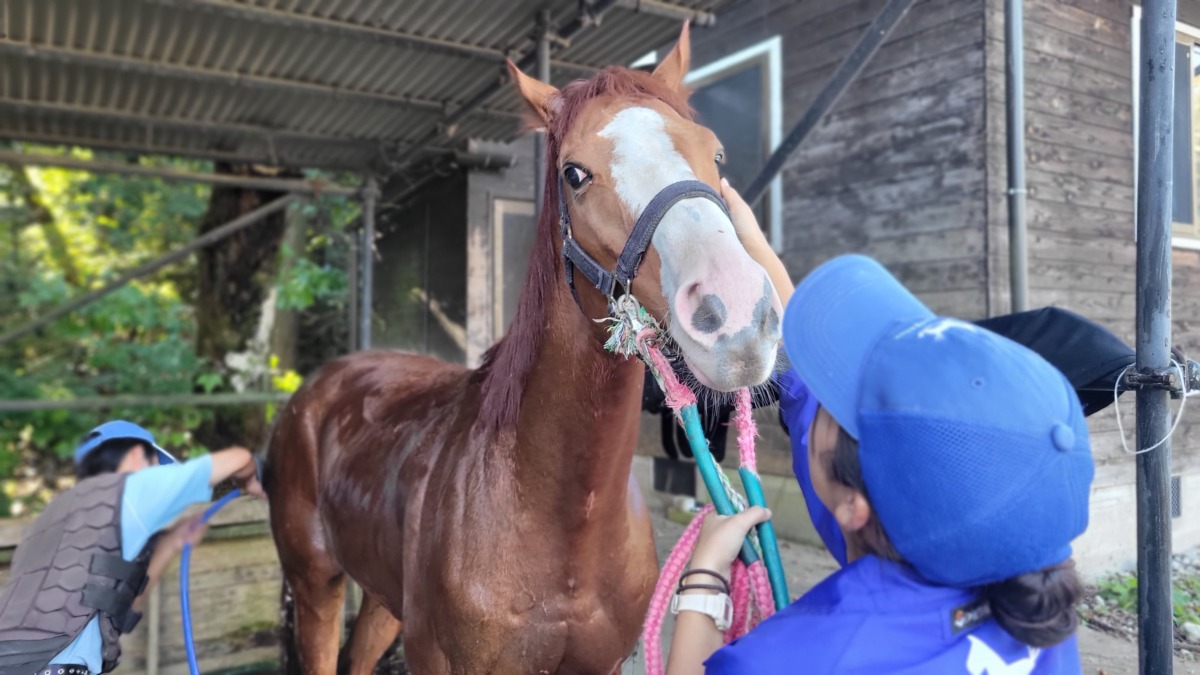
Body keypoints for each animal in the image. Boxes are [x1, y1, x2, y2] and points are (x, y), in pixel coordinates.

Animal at [266, 26, 782, 672]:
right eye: (574, 174)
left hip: (384, 601)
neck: (564, 523)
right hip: (317, 587)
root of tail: (317, 387)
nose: (735, 315)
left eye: (715, 155)